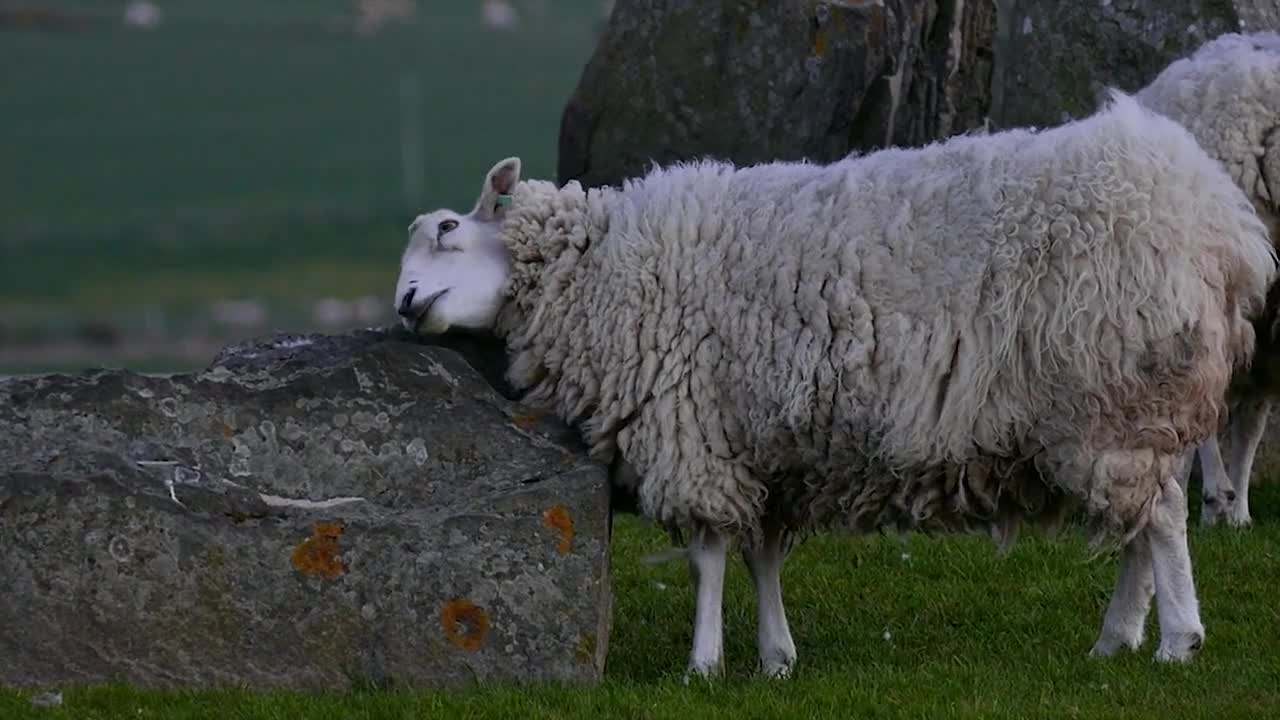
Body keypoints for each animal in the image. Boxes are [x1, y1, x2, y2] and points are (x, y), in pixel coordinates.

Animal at [394, 90, 1274, 676]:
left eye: (447, 230)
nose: (403, 305)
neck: (600, 267)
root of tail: (1220, 224)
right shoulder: (766, 445)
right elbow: (761, 556)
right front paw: (775, 657)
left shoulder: (691, 428)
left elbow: (708, 556)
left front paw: (703, 663)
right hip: (1126, 413)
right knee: (1141, 520)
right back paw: (1116, 637)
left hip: (1112, 397)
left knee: (1162, 516)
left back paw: (1176, 640)